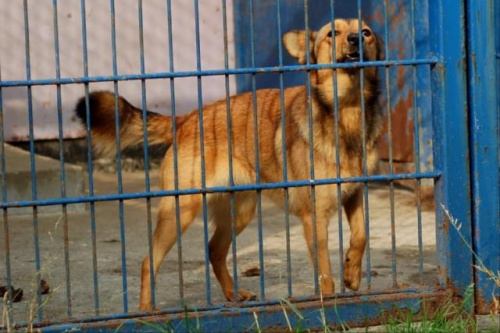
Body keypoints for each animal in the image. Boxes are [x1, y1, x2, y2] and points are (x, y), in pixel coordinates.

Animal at [76, 17, 384, 308]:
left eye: (365, 32)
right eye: (333, 33)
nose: (355, 39)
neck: (347, 110)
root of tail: (186, 118)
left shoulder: (354, 194)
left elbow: (361, 235)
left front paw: (351, 273)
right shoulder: (315, 215)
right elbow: (324, 271)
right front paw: (329, 301)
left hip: (240, 210)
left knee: (214, 250)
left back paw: (232, 294)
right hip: (180, 210)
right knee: (148, 262)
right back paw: (146, 310)